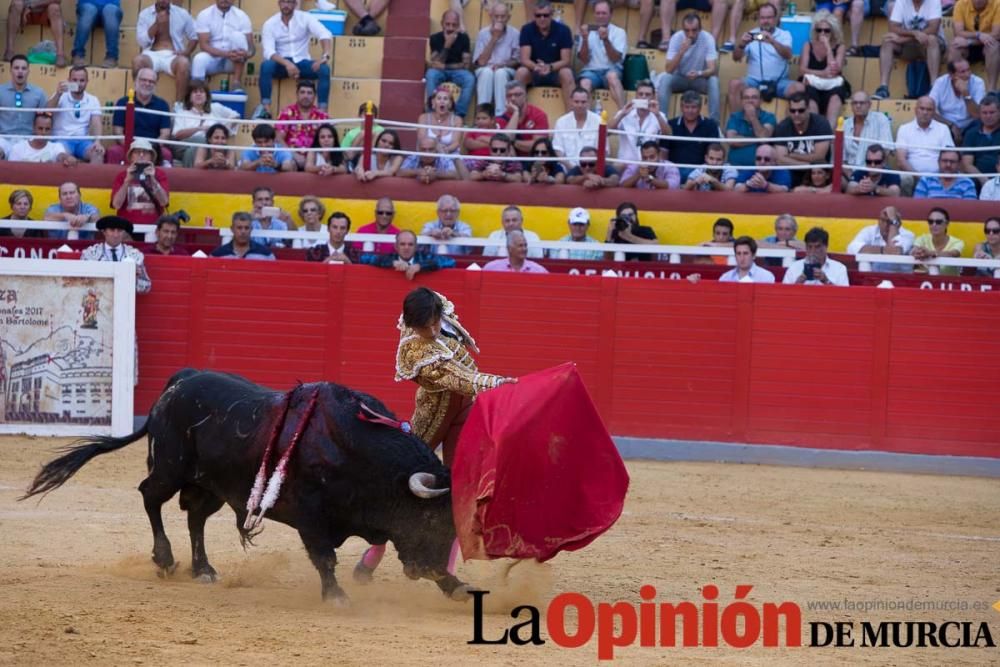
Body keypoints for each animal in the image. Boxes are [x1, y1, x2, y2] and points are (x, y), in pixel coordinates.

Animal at [21, 370, 474, 604]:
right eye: (429, 521)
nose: (424, 570)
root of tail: (178, 382)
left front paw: (457, 587)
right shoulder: (310, 514)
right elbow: (324, 557)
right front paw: (336, 596)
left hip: (212, 487)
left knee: (196, 518)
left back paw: (203, 569)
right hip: (171, 468)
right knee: (150, 496)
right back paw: (165, 560)